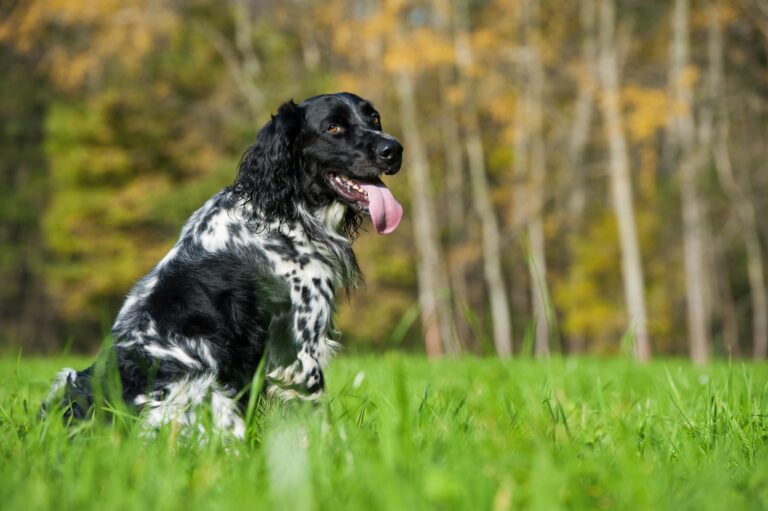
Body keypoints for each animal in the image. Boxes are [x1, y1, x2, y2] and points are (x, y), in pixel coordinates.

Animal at [42, 94, 404, 438]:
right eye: (333, 127)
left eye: (374, 118)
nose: (394, 149)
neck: (283, 210)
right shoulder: (298, 352)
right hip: (208, 390)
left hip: (66, 379)